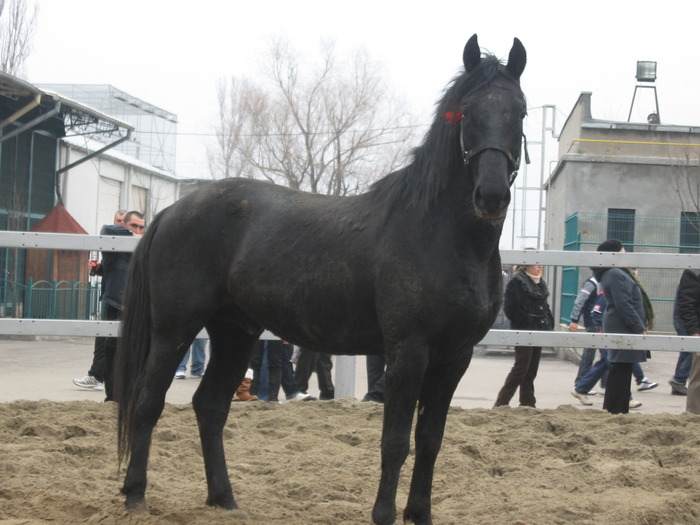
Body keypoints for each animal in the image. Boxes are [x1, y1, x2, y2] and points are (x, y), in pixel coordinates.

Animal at [115, 34, 528, 520]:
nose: (491, 196)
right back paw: (135, 495)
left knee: (210, 406)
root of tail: (172, 211)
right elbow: (395, 442)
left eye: (520, 110)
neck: (441, 235)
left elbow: (430, 441)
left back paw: (225, 499)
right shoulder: (408, 352)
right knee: (148, 402)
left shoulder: (455, 357)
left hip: (235, 331)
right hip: (173, 329)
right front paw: (384, 515)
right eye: (466, 112)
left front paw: (419, 514)